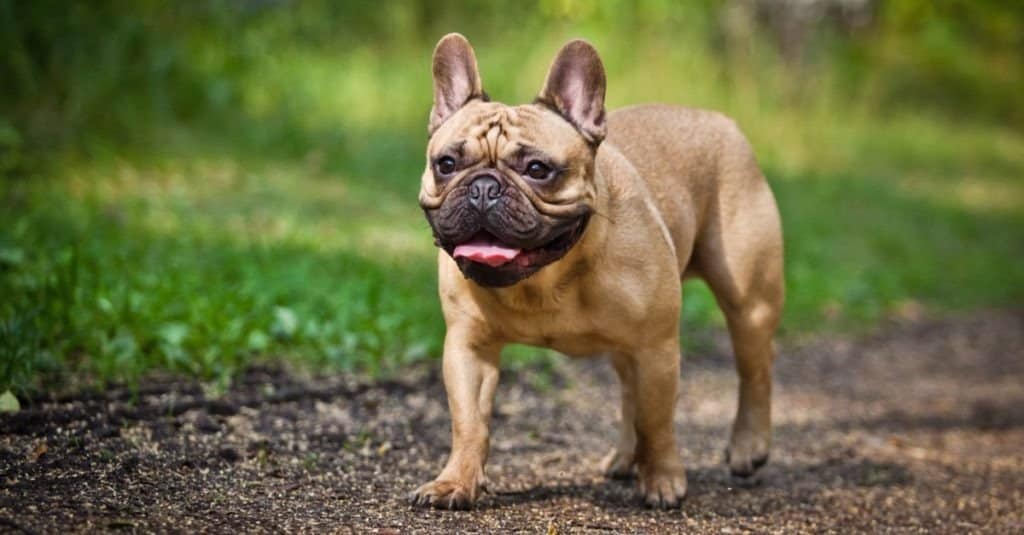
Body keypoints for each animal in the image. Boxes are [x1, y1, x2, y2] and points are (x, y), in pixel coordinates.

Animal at [407, 33, 782, 508]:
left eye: (537, 169)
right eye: (447, 164)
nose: (484, 188)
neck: (542, 280)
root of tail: (718, 120)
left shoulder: (657, 347)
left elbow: (657, 420)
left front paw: (663, 480)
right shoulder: (468, 347)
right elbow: (469, 422)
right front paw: (455, 481)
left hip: (748, 301)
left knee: (755, 369)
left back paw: (749, 446)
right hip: (625, 345)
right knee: (628, 392)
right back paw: (624, 458)